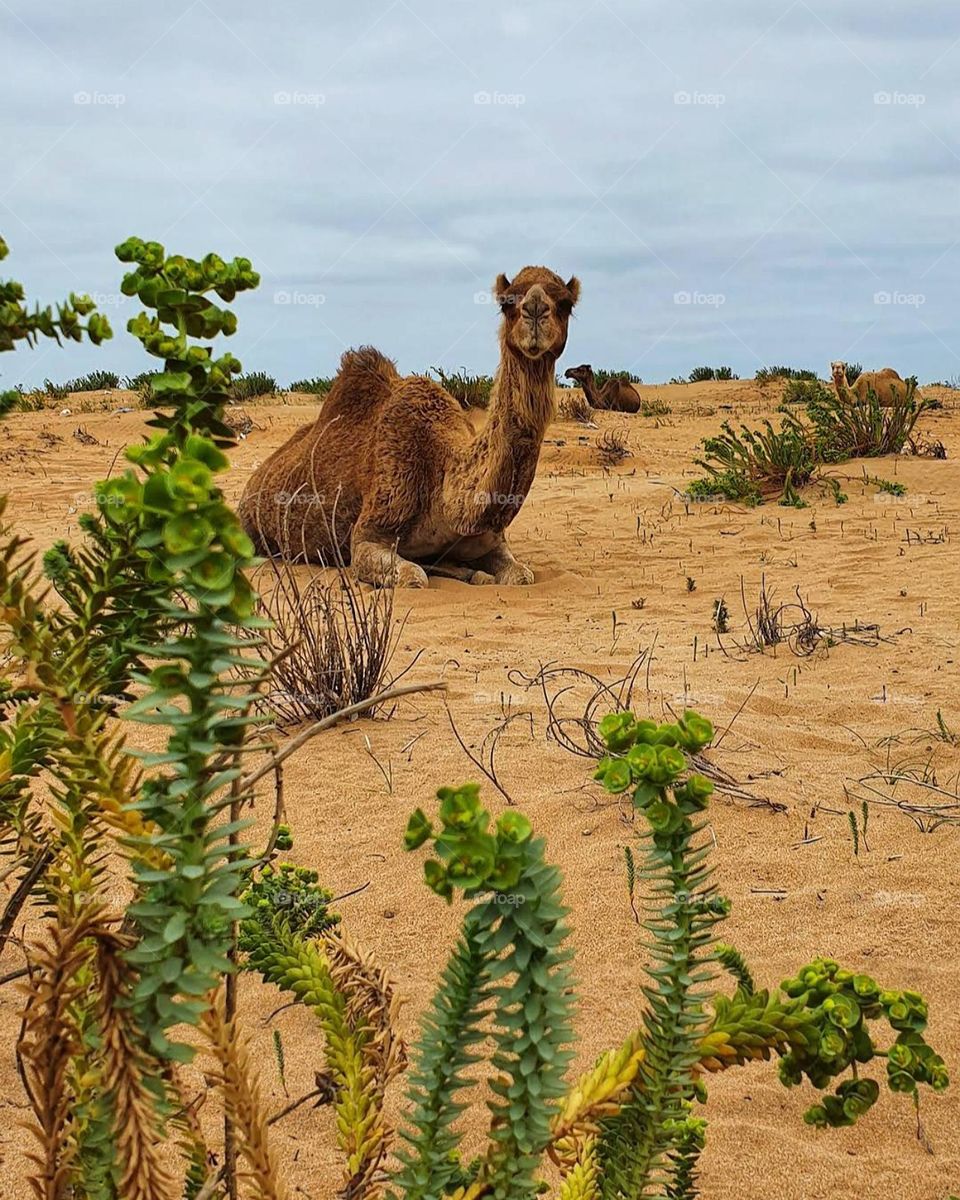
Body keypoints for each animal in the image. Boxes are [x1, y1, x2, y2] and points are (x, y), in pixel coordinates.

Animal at [238, 266, 580, 588]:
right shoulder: (368, 534)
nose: (534, 309)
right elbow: (415, 576)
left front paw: (474, 571)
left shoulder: (490, 541)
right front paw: (458, 571)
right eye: (507, 302)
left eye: (565, 303)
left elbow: (522, 575)